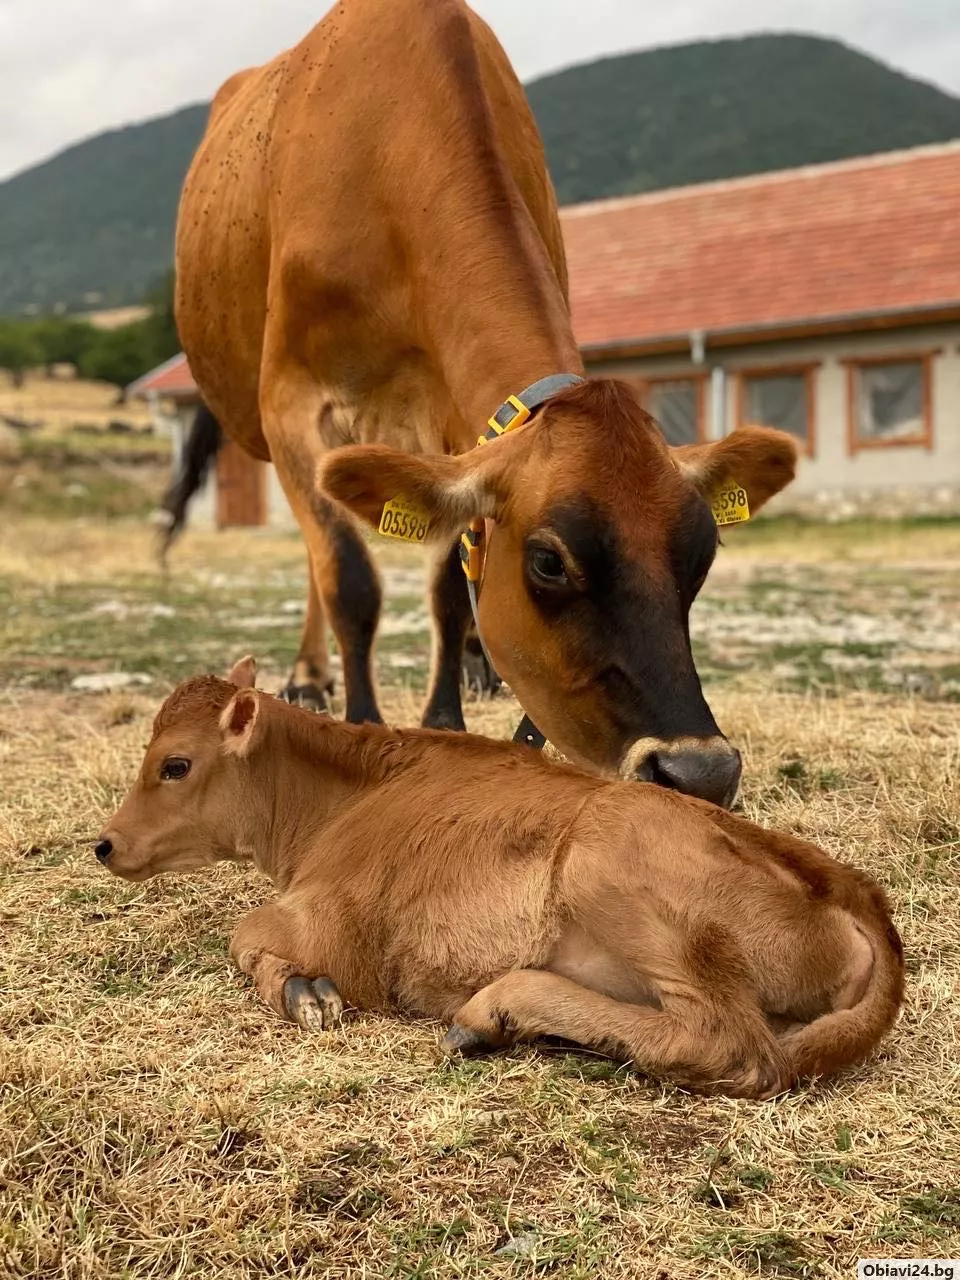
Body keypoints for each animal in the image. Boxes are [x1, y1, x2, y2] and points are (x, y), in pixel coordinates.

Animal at [94, 660, 906, 1100]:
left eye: (175, 764)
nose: (105, 844)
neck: (347, 794)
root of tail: (854, 888)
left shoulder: (336, 922)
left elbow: (248, 935)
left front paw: (304, 991)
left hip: (610, 867)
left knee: (730, 1044)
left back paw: (496, 1009)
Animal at [176, 0, 798, 798]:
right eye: (549, 563)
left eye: (703, 552)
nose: (700, 770)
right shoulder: (292, 400)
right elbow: (349, 579)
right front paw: (362, 719)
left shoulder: (454, 423)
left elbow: (449, 583)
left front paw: (445, 719)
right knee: (318, 555)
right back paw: (312, 677)